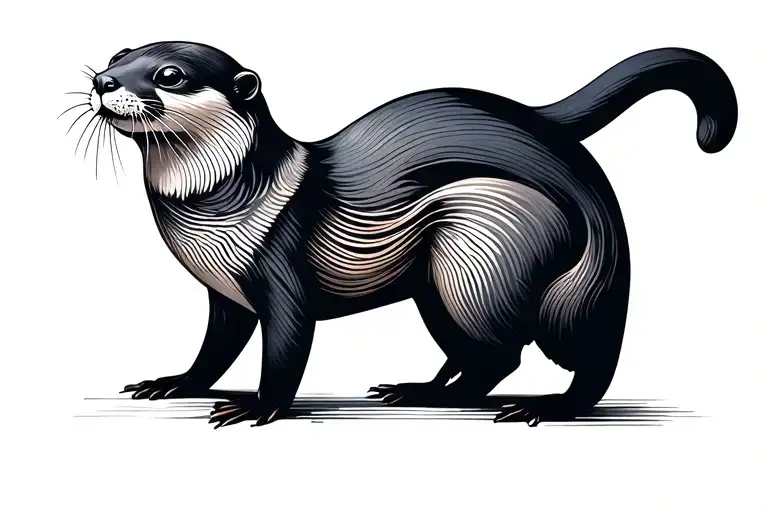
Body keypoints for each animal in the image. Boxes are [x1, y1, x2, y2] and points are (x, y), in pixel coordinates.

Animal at [77, 41, 737, 428]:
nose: (105, 80)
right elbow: (214, 350)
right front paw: (171, 383)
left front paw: (254, 406)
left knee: (562, 353)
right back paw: (421, 389)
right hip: (438, 286)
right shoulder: (226, 292)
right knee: (480, 359)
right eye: (119, 52)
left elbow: (286, 352)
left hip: (499, 265)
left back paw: (546, 407)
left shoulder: (280, 277)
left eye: (169, 74)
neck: (228, 207)